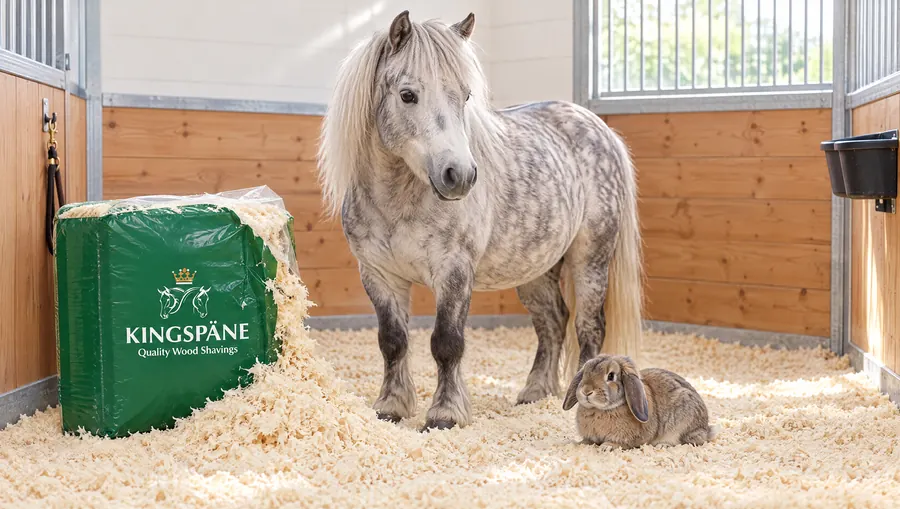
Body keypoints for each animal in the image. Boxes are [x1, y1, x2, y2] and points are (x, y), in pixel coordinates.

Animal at [317, 10, 644, 431]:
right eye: (407, 95)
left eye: (466, 96)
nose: (460, 175)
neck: (398, 200)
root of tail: (601, 129)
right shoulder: (378, 275)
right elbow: (392, 341)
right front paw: (391, 406)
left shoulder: (454, 271)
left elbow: (446, 343)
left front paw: (445, 414)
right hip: (535, 270)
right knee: (553, 322)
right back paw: (535, 392)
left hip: (591, 260)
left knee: (588, 328)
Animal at [562, 354, 718, 450]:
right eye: (585, 373)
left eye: (611, 376)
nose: (586, 391)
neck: (601, 409)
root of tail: (706, 429)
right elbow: (587, 441)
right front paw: (577, 444)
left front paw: (608, 446)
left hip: (682, 424)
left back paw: (663, 445)